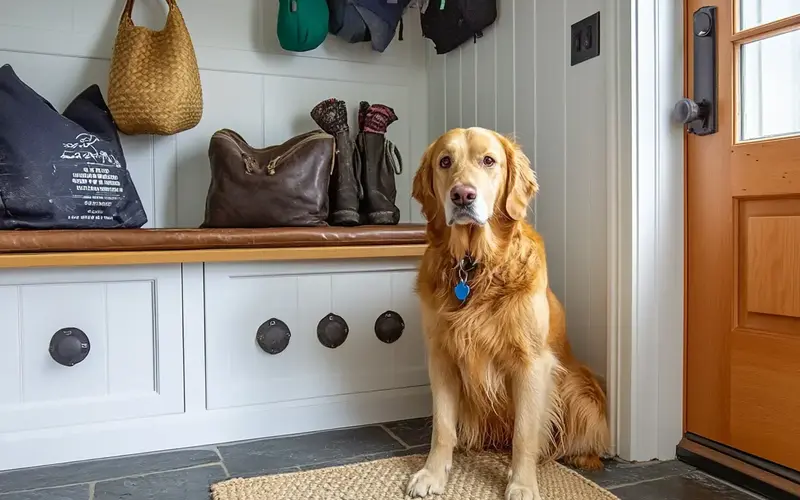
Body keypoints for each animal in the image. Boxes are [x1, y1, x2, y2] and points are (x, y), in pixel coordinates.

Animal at [404, 127, 608, 498]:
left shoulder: (530, 363)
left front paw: (522, 484)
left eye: (489, 160)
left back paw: (580, 458)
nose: (462, 195)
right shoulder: (441, 356)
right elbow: (442, 426)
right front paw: (433, 474)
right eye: (445, 161)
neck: (474, 266)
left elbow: (525, 434)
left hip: (576, 386)